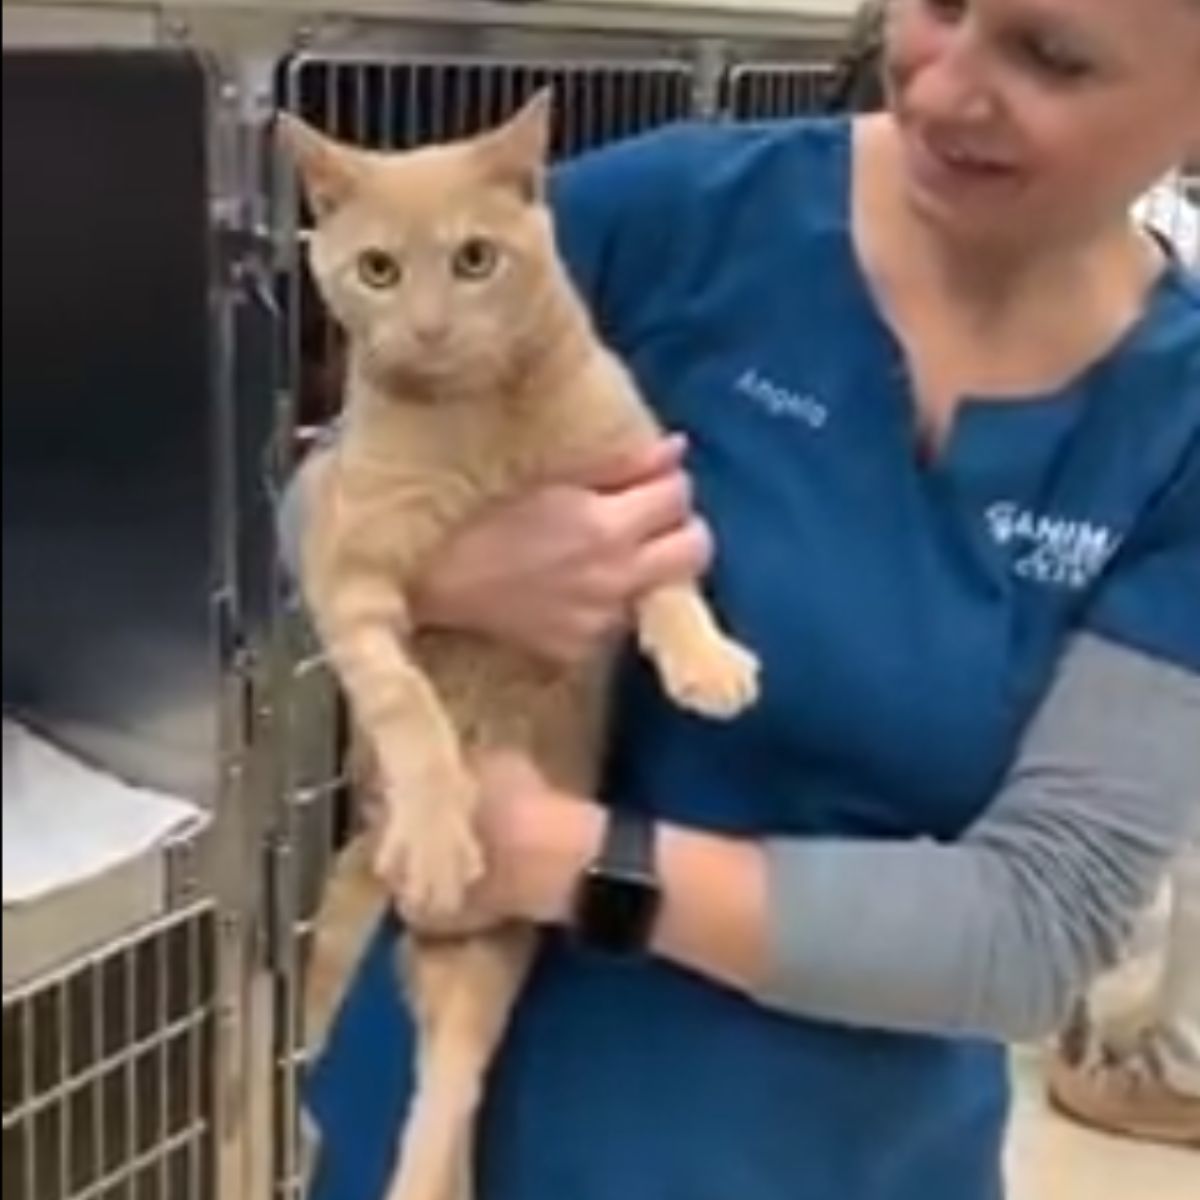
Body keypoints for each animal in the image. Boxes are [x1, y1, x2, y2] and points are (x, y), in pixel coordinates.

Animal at [276, 93, 753, 1200]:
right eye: (378, 270)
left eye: (475, 258)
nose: (429, 326)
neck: (478, 424)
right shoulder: (346, 572)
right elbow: (403, 700)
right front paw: (438, 822)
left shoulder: (641, 486)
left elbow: (668, 584)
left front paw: (705, 657)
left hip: (484, 977)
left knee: (446, 1104)